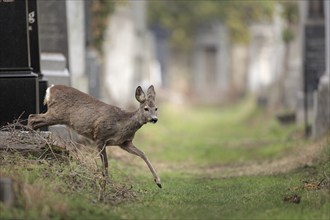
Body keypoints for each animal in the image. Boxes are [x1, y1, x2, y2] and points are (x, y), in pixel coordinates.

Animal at [27, 85, 162, 188]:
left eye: (156, 108)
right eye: (146, 108)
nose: (154, 119)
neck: (122, 124)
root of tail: (50, 89)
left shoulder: (124, 143)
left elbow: (143, 154)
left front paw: (158, 182)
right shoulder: (100, 137)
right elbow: (105, 163)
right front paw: (106, 185)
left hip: (56, 115)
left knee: (34, 120)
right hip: (56, 113)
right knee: (32, 117)